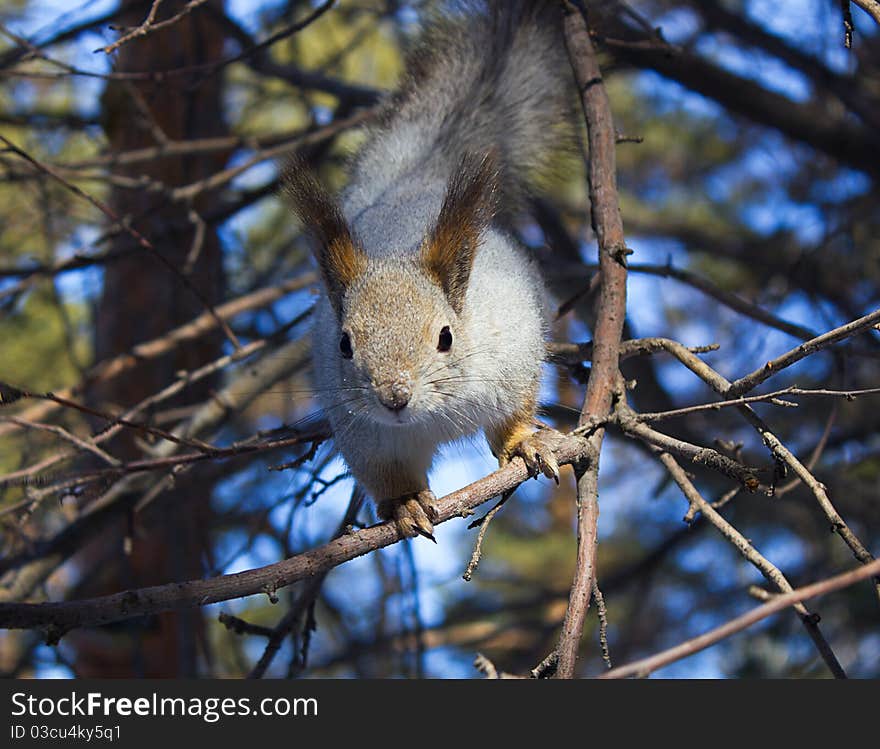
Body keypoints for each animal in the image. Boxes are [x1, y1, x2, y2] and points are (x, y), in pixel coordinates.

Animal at [286, 0, 576, 536]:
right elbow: (386, 474)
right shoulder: (365, 436)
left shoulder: (513, 359)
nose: (394, 398)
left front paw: (521, 442)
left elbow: (514, 414)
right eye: (344, 344)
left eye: (445, 336)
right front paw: (404, 502)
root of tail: (411, 189)